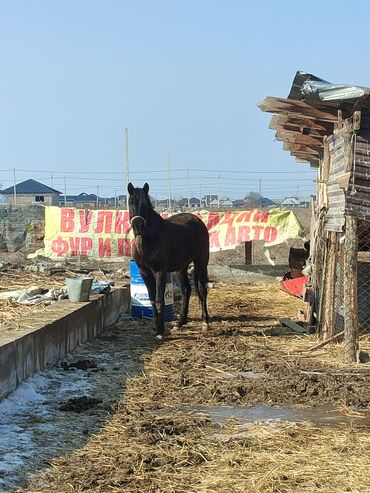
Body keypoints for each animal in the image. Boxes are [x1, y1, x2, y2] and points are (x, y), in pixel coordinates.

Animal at [127, 182, 210, 338]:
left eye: (146, 204)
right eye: (130, 202)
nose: (138, 226)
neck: (147, 239)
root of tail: (198, 220)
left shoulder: (160, 271)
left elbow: (160, 300)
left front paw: (160, 331)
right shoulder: (144, 272)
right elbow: (152, 300)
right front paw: (155, 326)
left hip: (201, 263)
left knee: (202, 290)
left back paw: (205, 322)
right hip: (181, 268)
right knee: (186, 291)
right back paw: (180, 323)